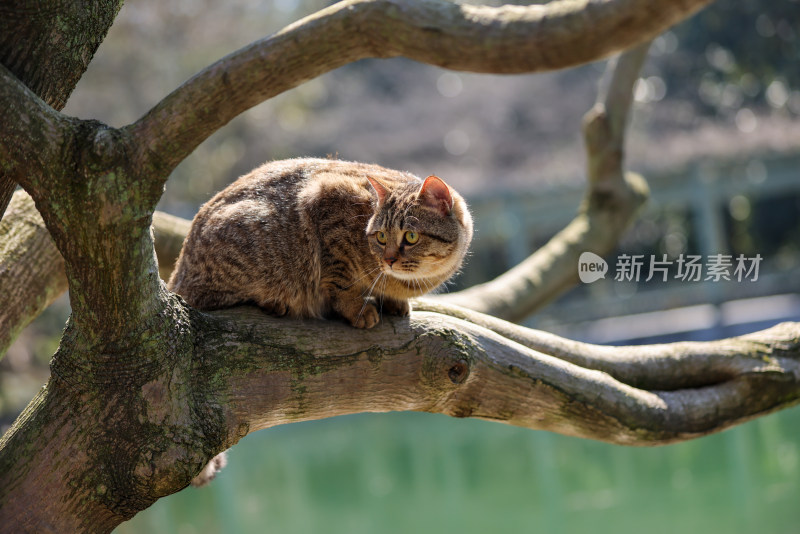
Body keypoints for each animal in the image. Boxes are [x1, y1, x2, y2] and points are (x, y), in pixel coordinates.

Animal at [166, 157, 472, 488]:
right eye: (381, 237)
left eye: (411, 237)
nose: (389, 260)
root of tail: (178, 272)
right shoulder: (328, 203)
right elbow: (341, 280)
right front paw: (358, 308)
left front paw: (393, 302)